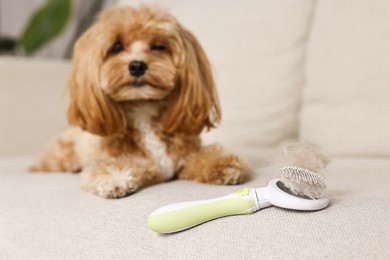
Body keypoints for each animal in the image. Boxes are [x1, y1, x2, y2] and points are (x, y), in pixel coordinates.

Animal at [29, 5, 250, 197]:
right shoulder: (135, 162)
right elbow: (112, 165)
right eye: (116, 46)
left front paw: (224, 165)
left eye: (158, 46)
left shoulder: (185, 156)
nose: (137, 65)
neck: (143, 109)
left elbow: (202, 157)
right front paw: (114, 178)